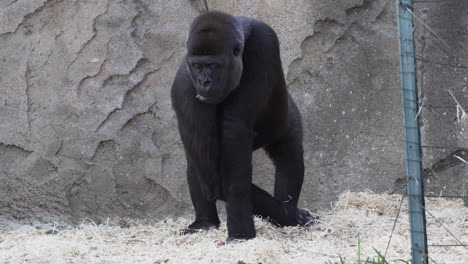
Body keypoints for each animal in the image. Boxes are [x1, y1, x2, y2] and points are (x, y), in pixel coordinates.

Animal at [172, 11, 314, 240]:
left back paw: (286, 211)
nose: (204, 82)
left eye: (213, 65)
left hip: (284, 116)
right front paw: (244, 229)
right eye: (197, 66)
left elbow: (233, 136)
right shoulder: (184, 86)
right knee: (199, 164)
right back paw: (205, 222)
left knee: (289, 153)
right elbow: (211, 166)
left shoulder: (264, 43)